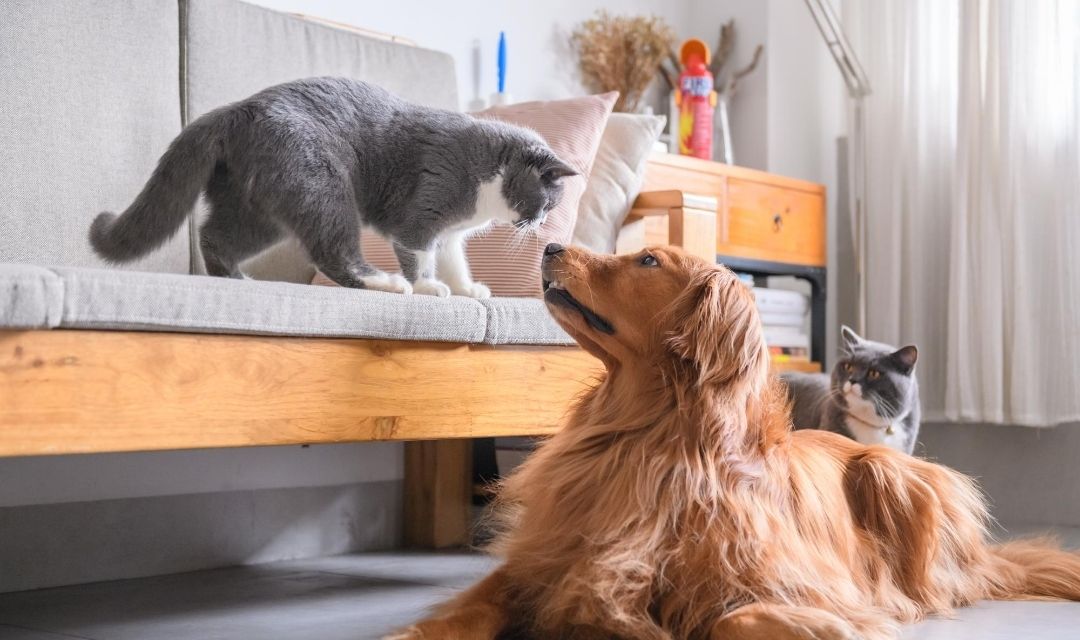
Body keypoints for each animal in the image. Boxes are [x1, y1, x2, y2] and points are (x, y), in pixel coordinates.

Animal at [88, 75, 578, 297]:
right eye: (548, 200)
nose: (539, 223)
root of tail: (235, 110)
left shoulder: (452, 233)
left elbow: (455, 261)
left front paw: (465, 289)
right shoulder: (424, 213)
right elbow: (420, 254)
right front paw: (426, 287)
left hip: (257, 206)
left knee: (214, 234)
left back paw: (236, 277)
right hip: (322, 184)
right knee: (333, 250)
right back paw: (384, 282)